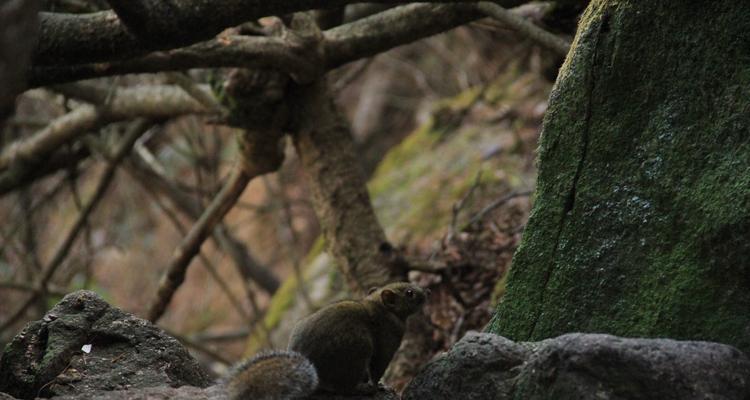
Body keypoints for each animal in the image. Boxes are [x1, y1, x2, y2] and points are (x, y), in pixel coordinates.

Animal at [225, 282, 428, 398]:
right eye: (409, 293)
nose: (428, 291)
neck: (381, 307)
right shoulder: (387, 341)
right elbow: (378, 369)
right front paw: (378, 386)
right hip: (357, 349)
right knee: (344, 388)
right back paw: (363, 389)